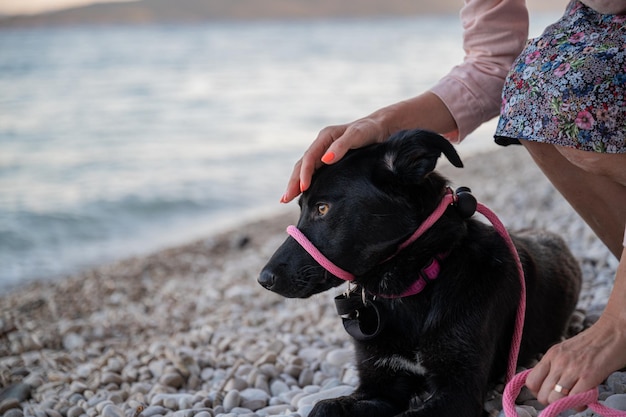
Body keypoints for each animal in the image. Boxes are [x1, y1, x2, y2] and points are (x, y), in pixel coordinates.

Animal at [258, 130, 580, 416]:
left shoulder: (458, 392)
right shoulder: (380, 386)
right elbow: (324, 407)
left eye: (323, 208)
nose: (263, 279)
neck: (411, 285)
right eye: (301, 208)